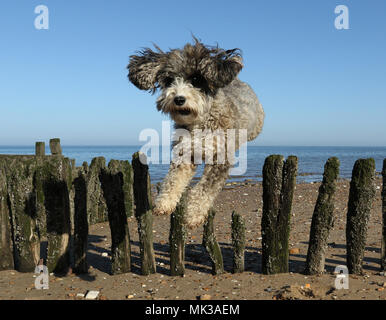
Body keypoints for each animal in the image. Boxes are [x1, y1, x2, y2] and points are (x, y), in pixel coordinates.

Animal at [128, 38, 264, 229]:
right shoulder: (185, 153)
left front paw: (193, 215)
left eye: (196, 79)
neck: (199, 122)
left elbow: (204, 189)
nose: (179, 99)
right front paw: (164, 203)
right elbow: (173, 179)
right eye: (169, 80)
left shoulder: (220, 158)